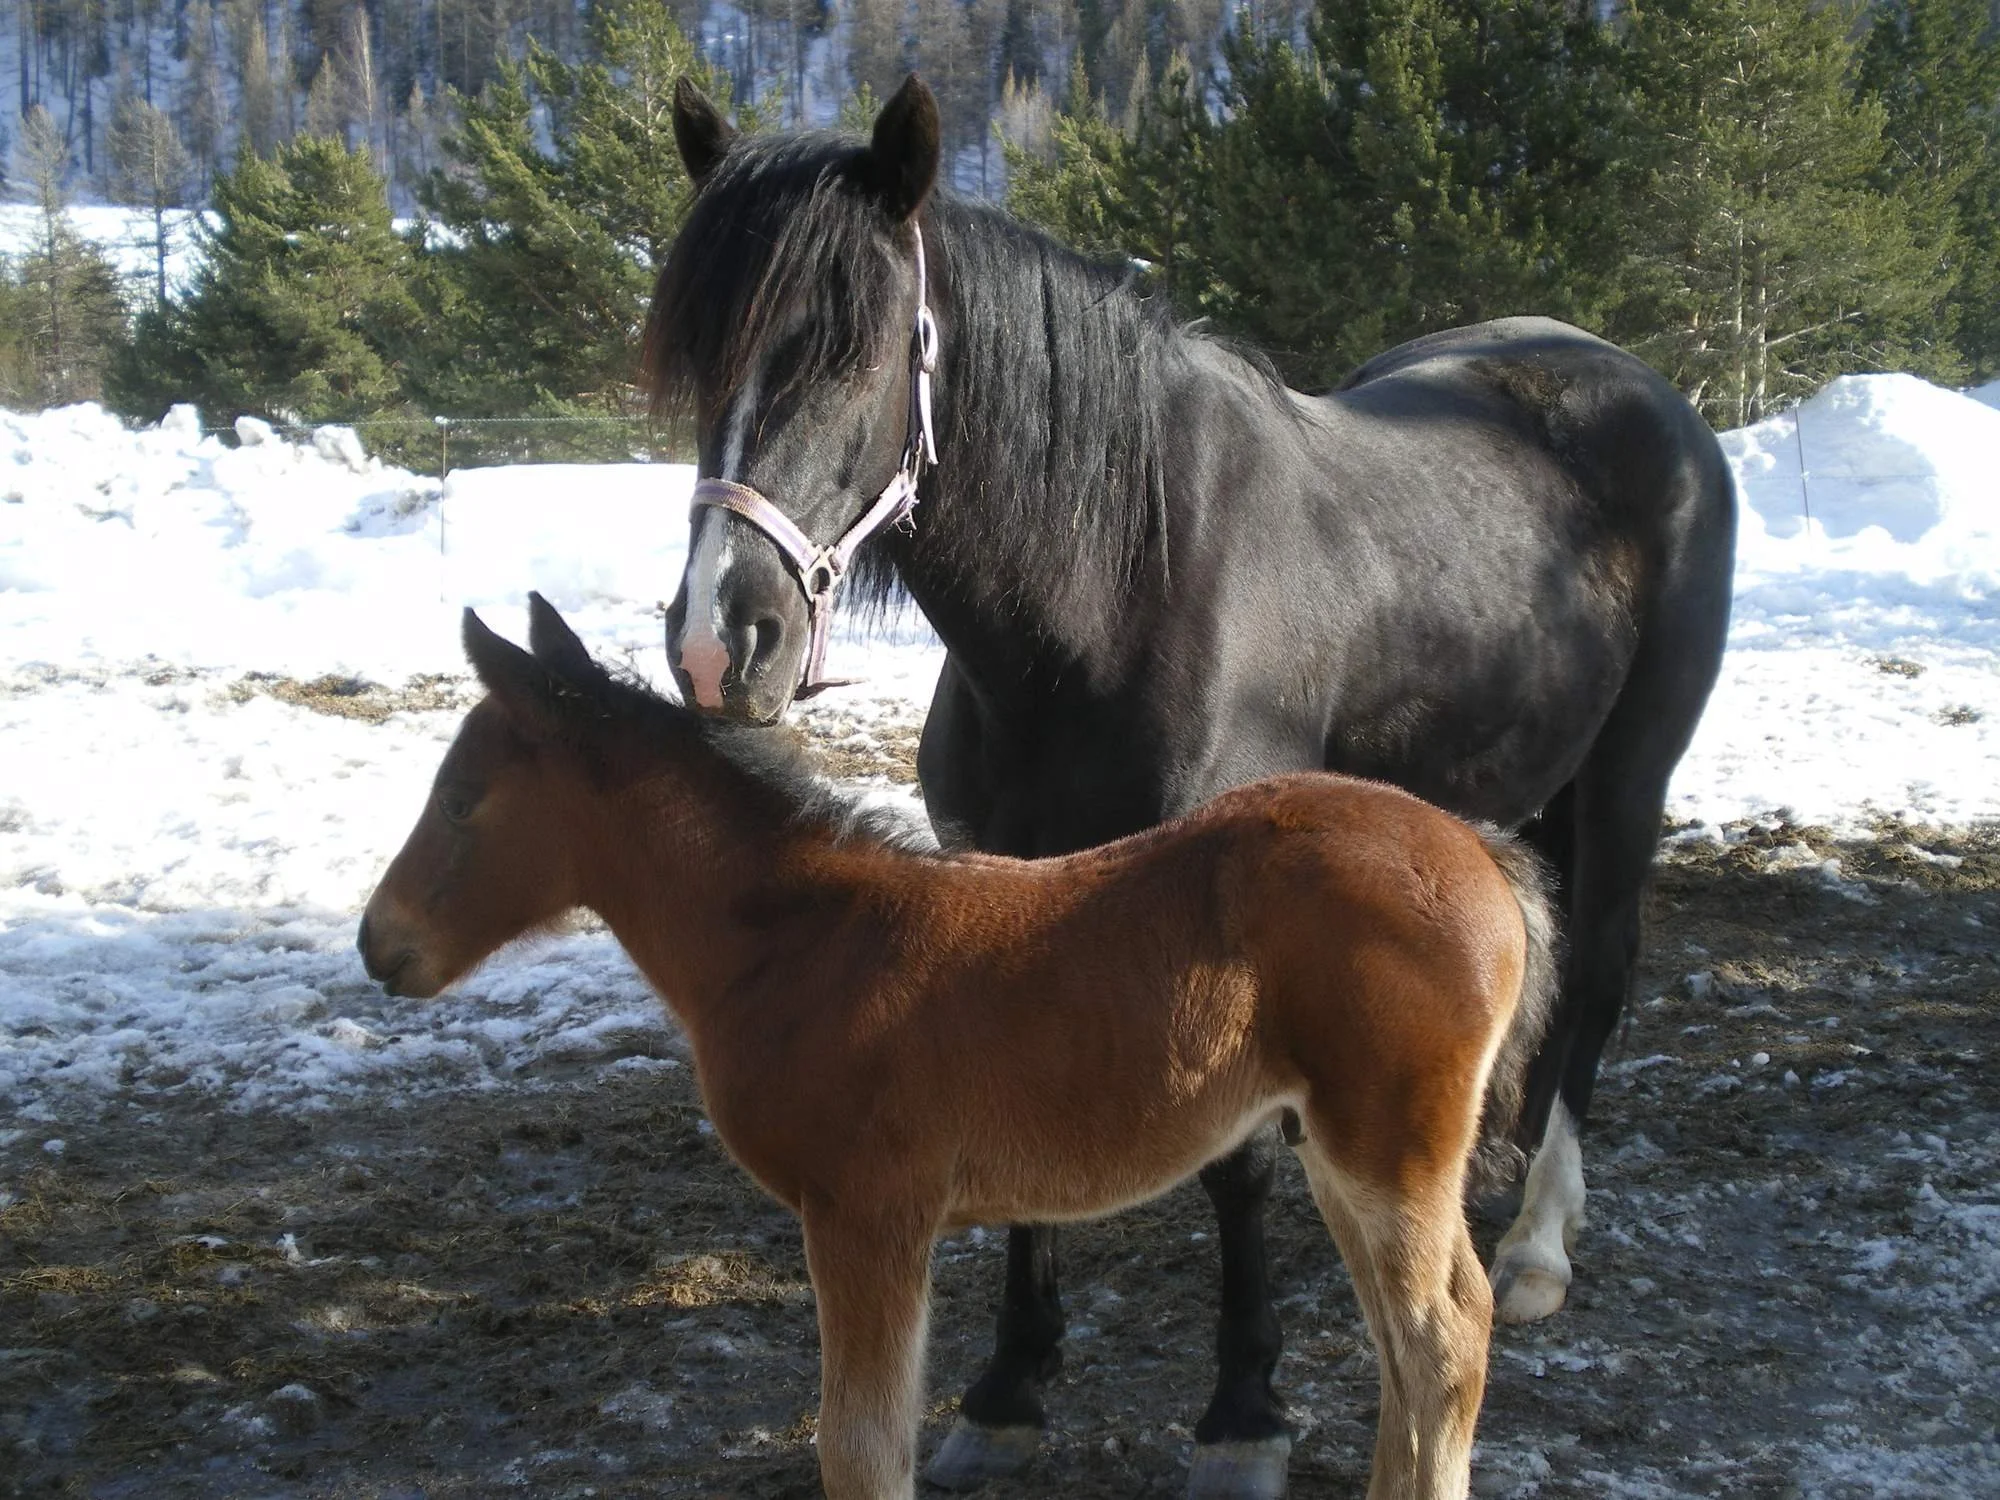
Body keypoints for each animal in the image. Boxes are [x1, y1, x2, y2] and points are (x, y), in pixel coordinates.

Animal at [358, 594, 1559, 1500]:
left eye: (460, 801)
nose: (380, 944)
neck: (804, 941)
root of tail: (1480, 853)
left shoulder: (866, 1213)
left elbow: (860, 1448)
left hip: (1389, 1149)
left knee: (1445, 1337)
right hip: (1341, 1152)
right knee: (1407, 1345)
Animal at [648, 76, 1734, 1499]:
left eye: (853, 347)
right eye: (695, 356)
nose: (719, 643)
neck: (1112, 592)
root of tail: (1639, 389)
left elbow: (1237, 1177)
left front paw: (1242, 1416)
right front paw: (1007, 1390)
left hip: (1626, 777)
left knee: (1599, 976)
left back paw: (1542, 1243)